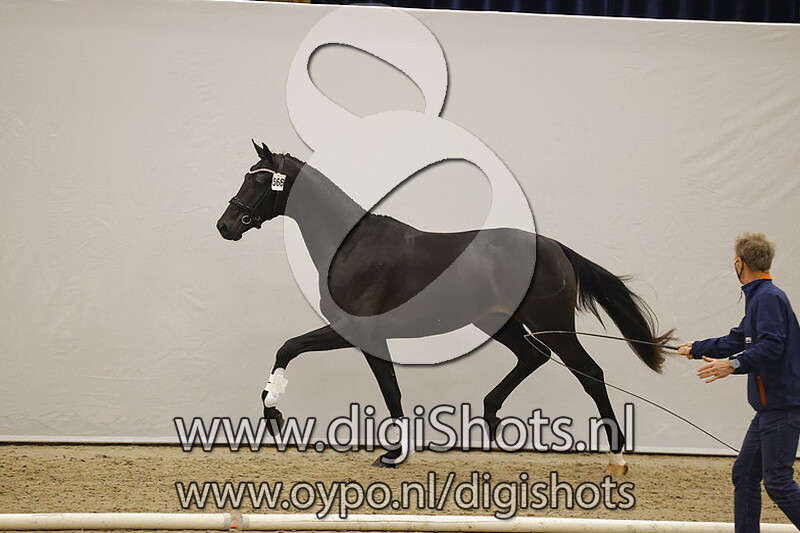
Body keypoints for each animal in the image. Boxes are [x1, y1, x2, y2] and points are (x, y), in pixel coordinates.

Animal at [216, 141, 675, 472]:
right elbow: (390, 391)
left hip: (552, 323)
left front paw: (274, 413)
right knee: (534, 356)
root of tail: (555, 247)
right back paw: (491, 418)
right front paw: (395, 452)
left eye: (259, 183)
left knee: (589, 373)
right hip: (498, 323)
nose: (225, 225)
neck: (352, 246)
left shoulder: (358, 330)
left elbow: (292, 349)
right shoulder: (372, 338)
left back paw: (617, 456)